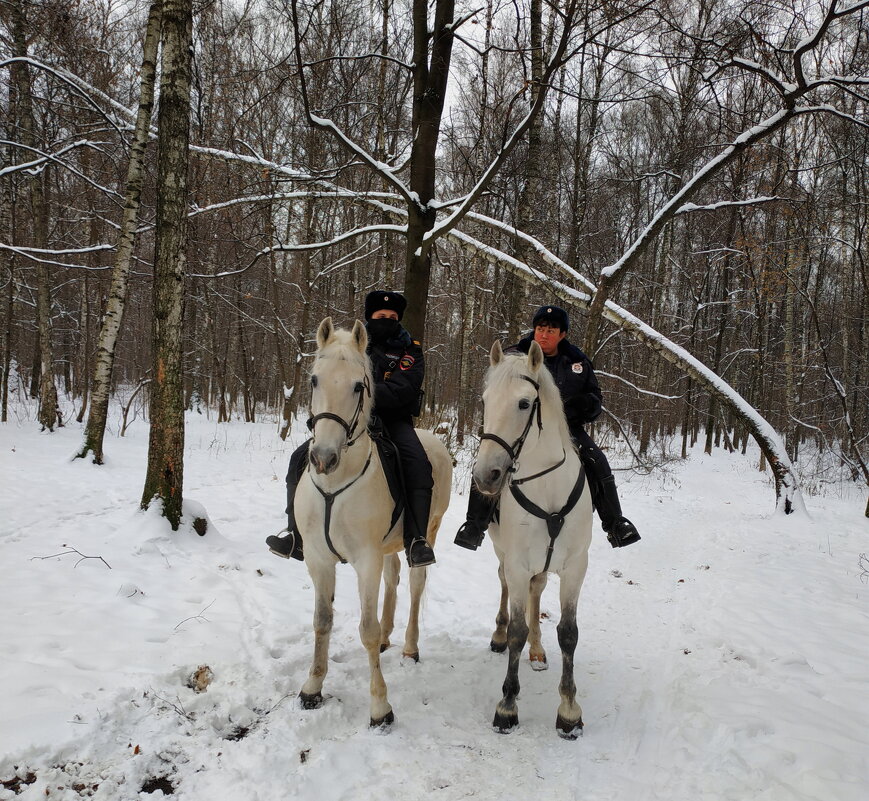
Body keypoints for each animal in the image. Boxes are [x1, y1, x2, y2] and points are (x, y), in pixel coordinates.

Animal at [294, 318, 450, 724]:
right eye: (314, 380)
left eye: (358, 386)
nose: (323, 458)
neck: (336, 484)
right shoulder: (318, 559)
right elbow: (322, 621)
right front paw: (312, 688)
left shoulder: (365, 559)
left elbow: (365, 627)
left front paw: (381, 706)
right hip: (389, 544)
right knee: (392, 579)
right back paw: (387, 639)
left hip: (428, 531)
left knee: (415, 583)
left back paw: (410, 647)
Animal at [472, 340, 592, 736]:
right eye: (485, 400)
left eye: (525, 404)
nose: (486, 475)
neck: (548, 488)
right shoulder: (518, 563)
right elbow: (517, 631)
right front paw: (507, 706)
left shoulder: (575, 569)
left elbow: (568, 633)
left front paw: (569, 711)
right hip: (504, 555)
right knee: (505, 586)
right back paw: (498, 635)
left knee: (537, 592)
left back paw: (538, 651)